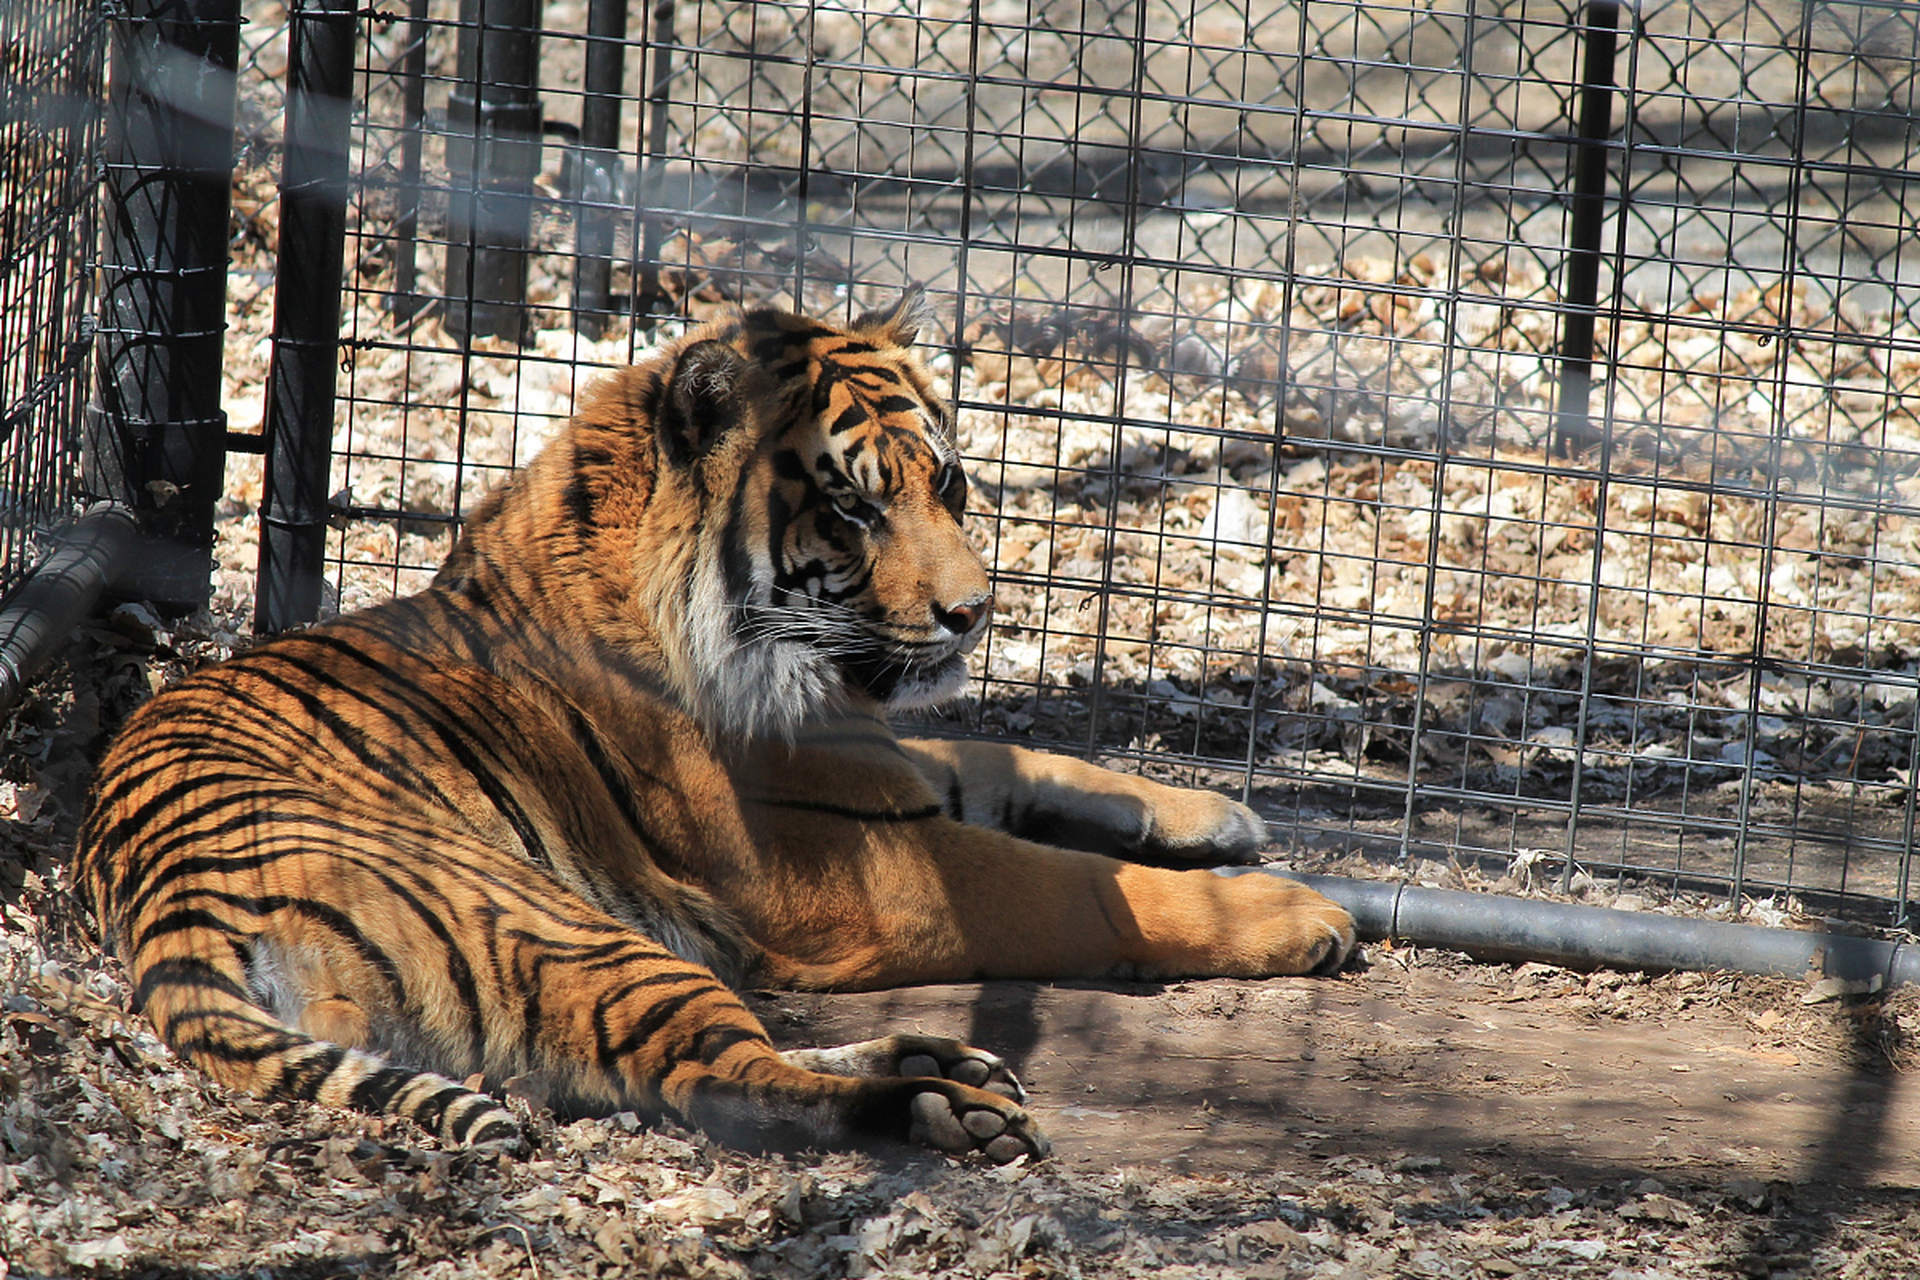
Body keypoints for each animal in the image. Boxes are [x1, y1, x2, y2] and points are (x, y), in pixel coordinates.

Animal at [63, 289, 1351, 1159]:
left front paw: (1212, 811)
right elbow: (1073, 883)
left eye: (948, 483)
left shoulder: (878, 759)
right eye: (853, 506)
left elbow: (1012, 751)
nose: (973, 613)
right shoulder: (847, 868)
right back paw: (937, 1101)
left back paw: (936, 1058)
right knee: (718, 1076)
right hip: (569, 923)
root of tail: (169, 898)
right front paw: (1297, 910)